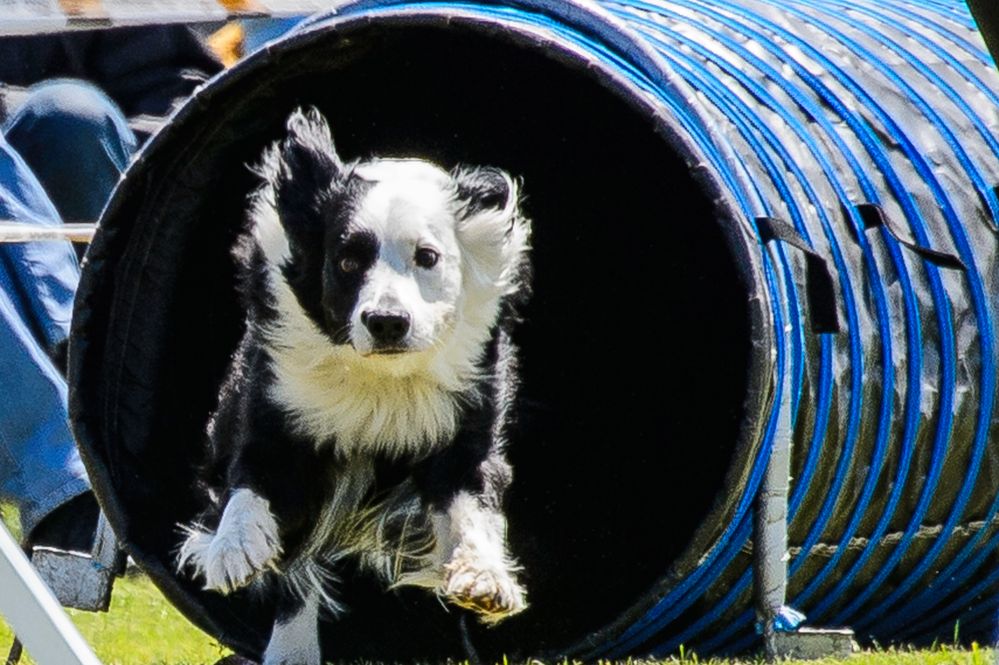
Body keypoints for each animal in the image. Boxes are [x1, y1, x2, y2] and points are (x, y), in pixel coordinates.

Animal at [174, 106, 532, 660]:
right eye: (347, 260)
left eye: (427, 256)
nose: (387, 321)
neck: (379, 378)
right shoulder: (276, 408)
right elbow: (250, 483)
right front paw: (233, 550)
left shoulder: (467, 421)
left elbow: (470, 502)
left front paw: (483, 578)